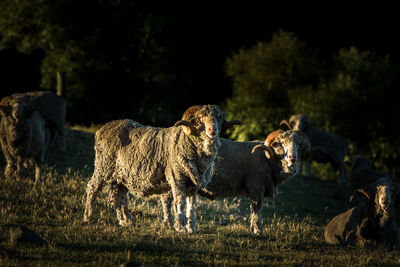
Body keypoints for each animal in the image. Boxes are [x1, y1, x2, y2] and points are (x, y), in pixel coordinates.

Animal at [83, 105, 236, 233]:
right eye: (199, 118)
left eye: (219, 118)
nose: (212, 130)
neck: (185, 140)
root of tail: (102, 129)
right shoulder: (177, 177)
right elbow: (179, 202)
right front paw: (180, 227)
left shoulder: (193, 184)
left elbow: (191, 206)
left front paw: (191, 228)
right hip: (104, 165)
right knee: (93, 188)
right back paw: (88, 217)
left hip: (121, 175)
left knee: (117, 197)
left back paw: (126, 221)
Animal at [159, 130, 312, 234]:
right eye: (281, 143)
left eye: (298, 144)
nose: (292, 157)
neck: (270, 159)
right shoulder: (256, 188)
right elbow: (257, 210)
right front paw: (258, 231)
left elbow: (253, 211)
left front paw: (253, 229)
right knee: (167, 200)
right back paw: (169, 224)